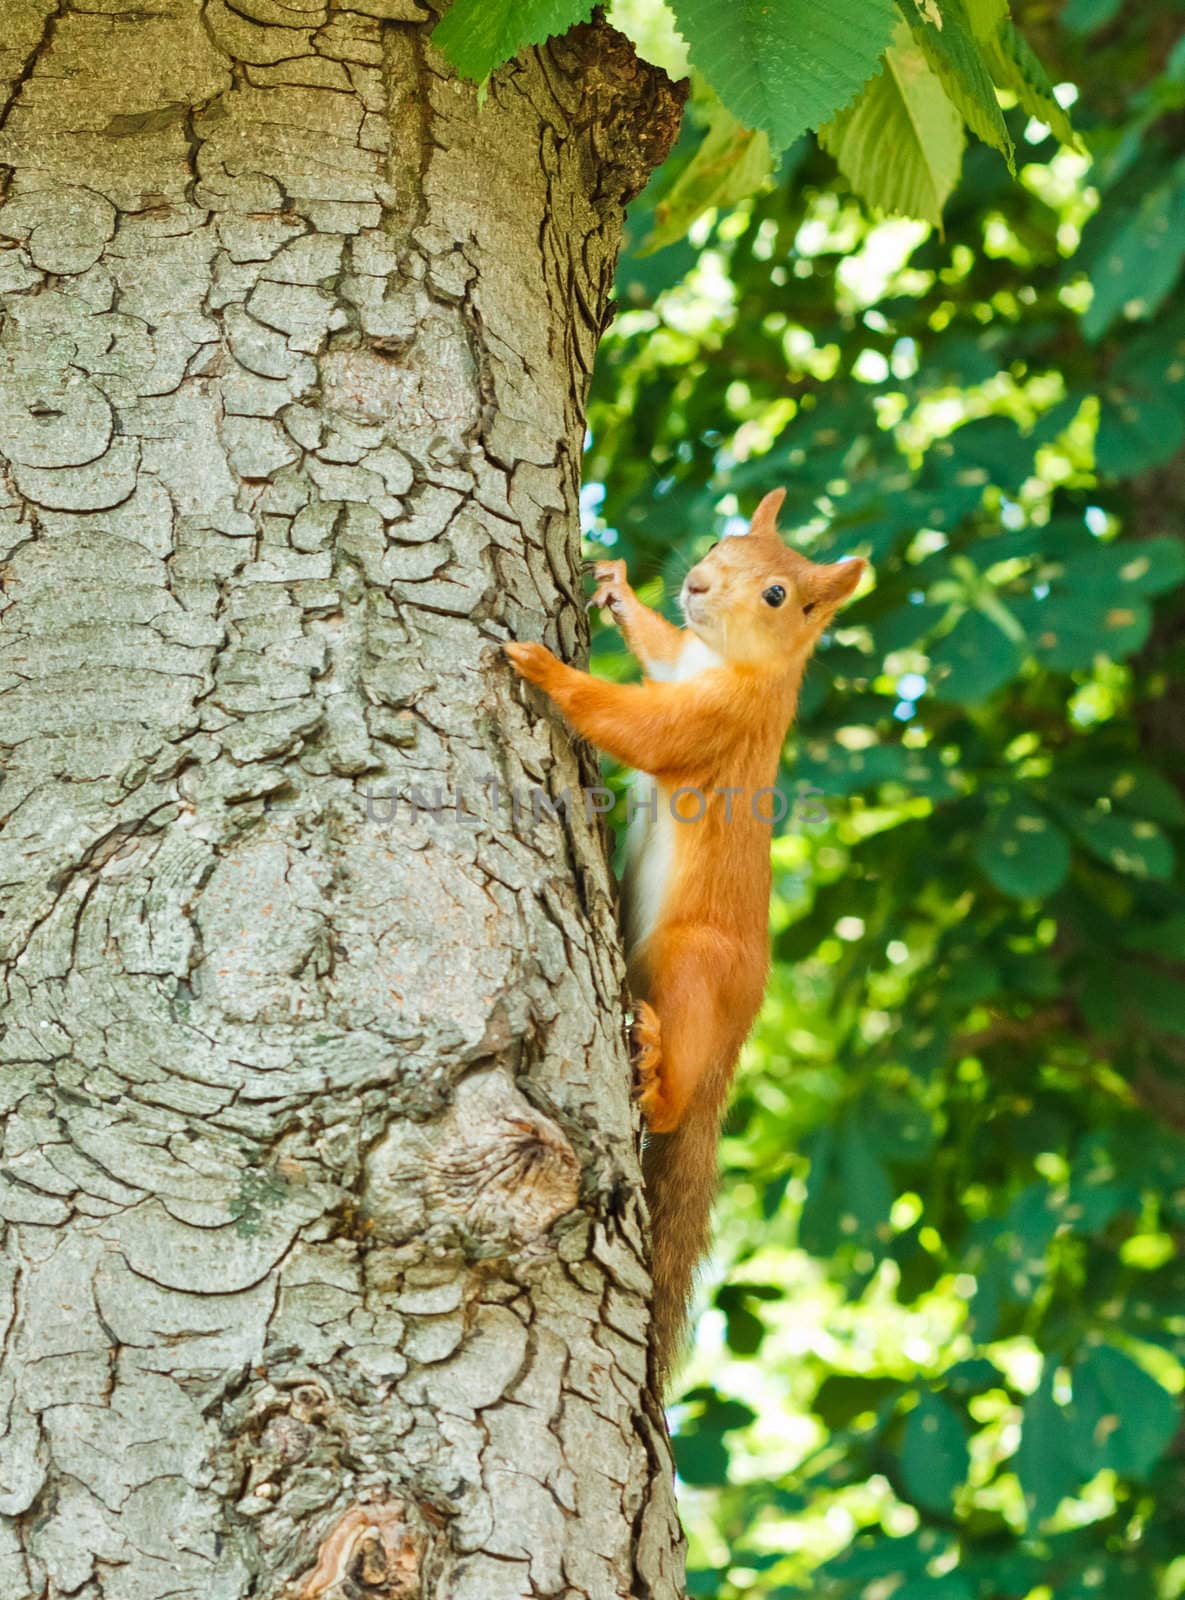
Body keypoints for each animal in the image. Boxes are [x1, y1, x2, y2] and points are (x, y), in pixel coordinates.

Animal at [505, 486, 863, 1376]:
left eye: (775, 594)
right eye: (717, 544)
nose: (697, 583)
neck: (733, 663)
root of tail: (738, 1035)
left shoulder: (716, 720)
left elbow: (640, 729)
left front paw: (547, 669)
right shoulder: (680, 664)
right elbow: (658, 647)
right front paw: (617, 585)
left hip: (691, 962)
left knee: (667, 1109)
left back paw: (660, 1073)